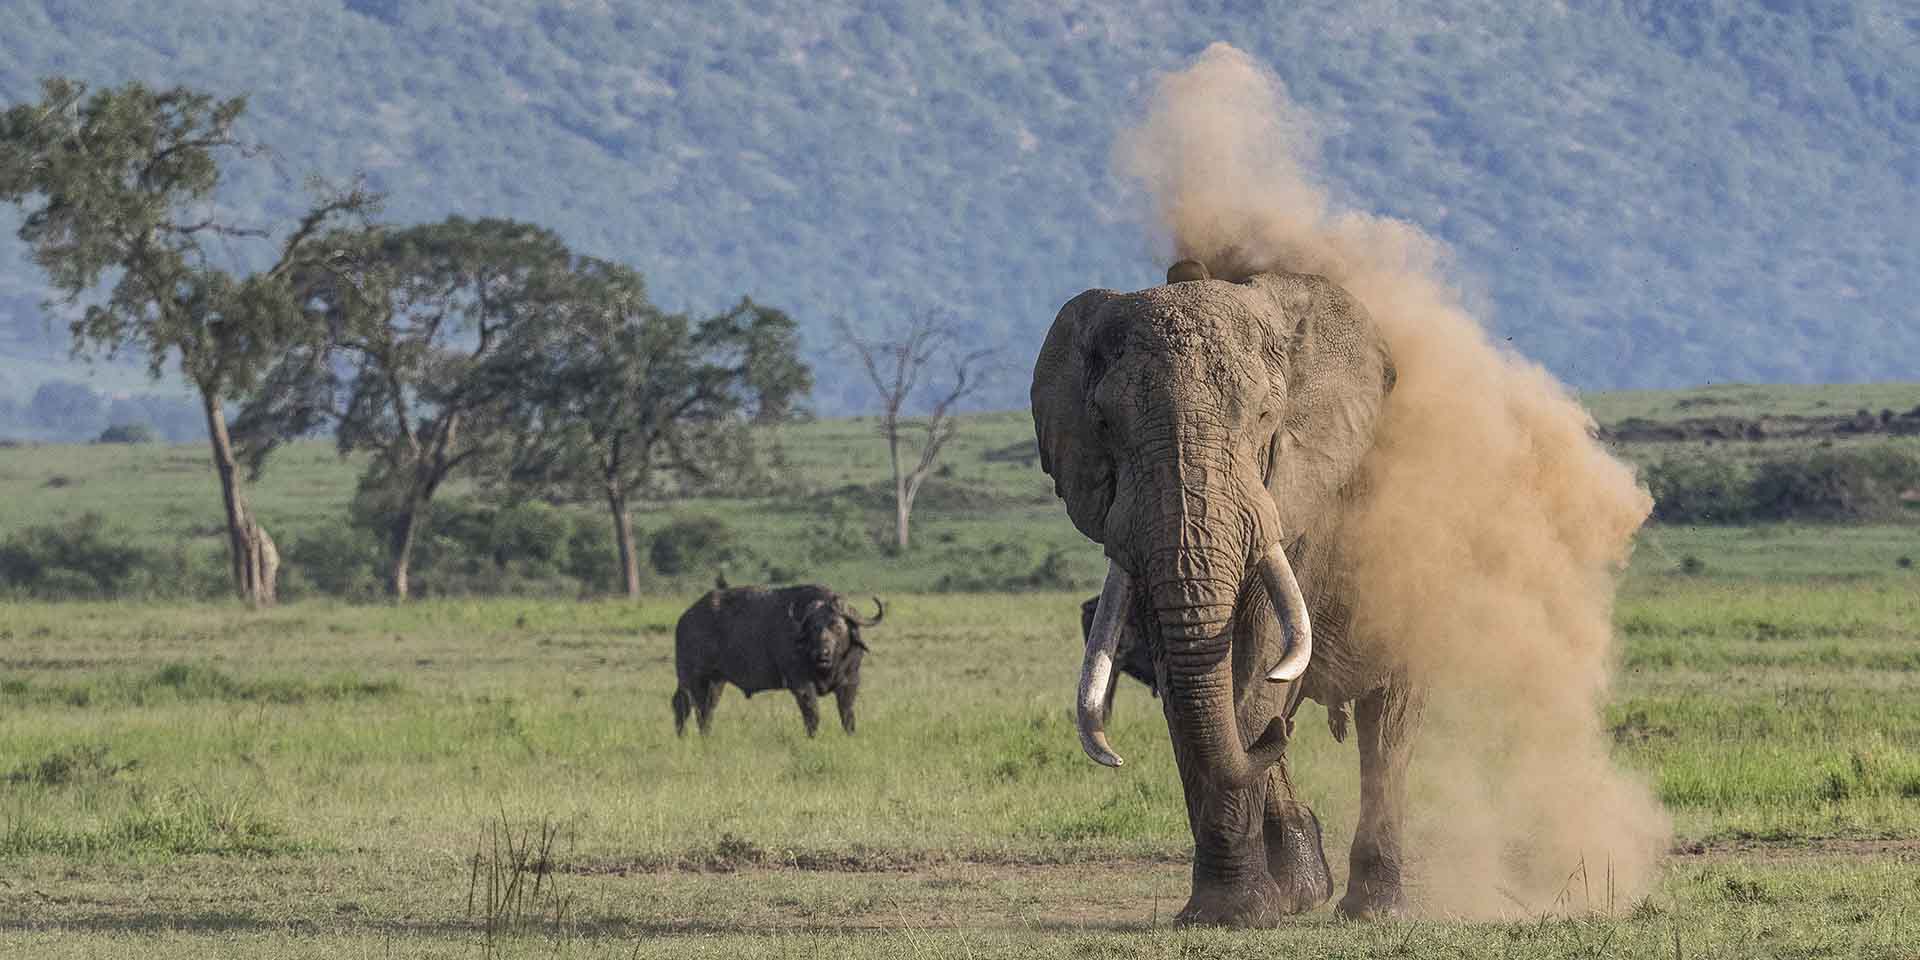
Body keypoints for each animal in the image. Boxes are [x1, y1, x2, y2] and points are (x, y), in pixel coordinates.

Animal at [672, 583, 879, 733]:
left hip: (715, 681)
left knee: (706, 711)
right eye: (813, 628)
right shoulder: (801, 684)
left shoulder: (850, 682)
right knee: (684, 706)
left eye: (837, 626)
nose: (822, 653)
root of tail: (685, 619)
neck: (827, 668)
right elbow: (812, 715)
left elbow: (847, 716)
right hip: (691, 677)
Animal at [1036, 259, 1413, 925]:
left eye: (1265, 418)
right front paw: (1223, 914)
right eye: (1103, 425)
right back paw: (1302, 891)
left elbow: (1256, 668)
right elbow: (1189, 687)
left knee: (1385, 724)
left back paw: (1372, 910)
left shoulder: (1297, 500)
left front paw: (1236, 914)